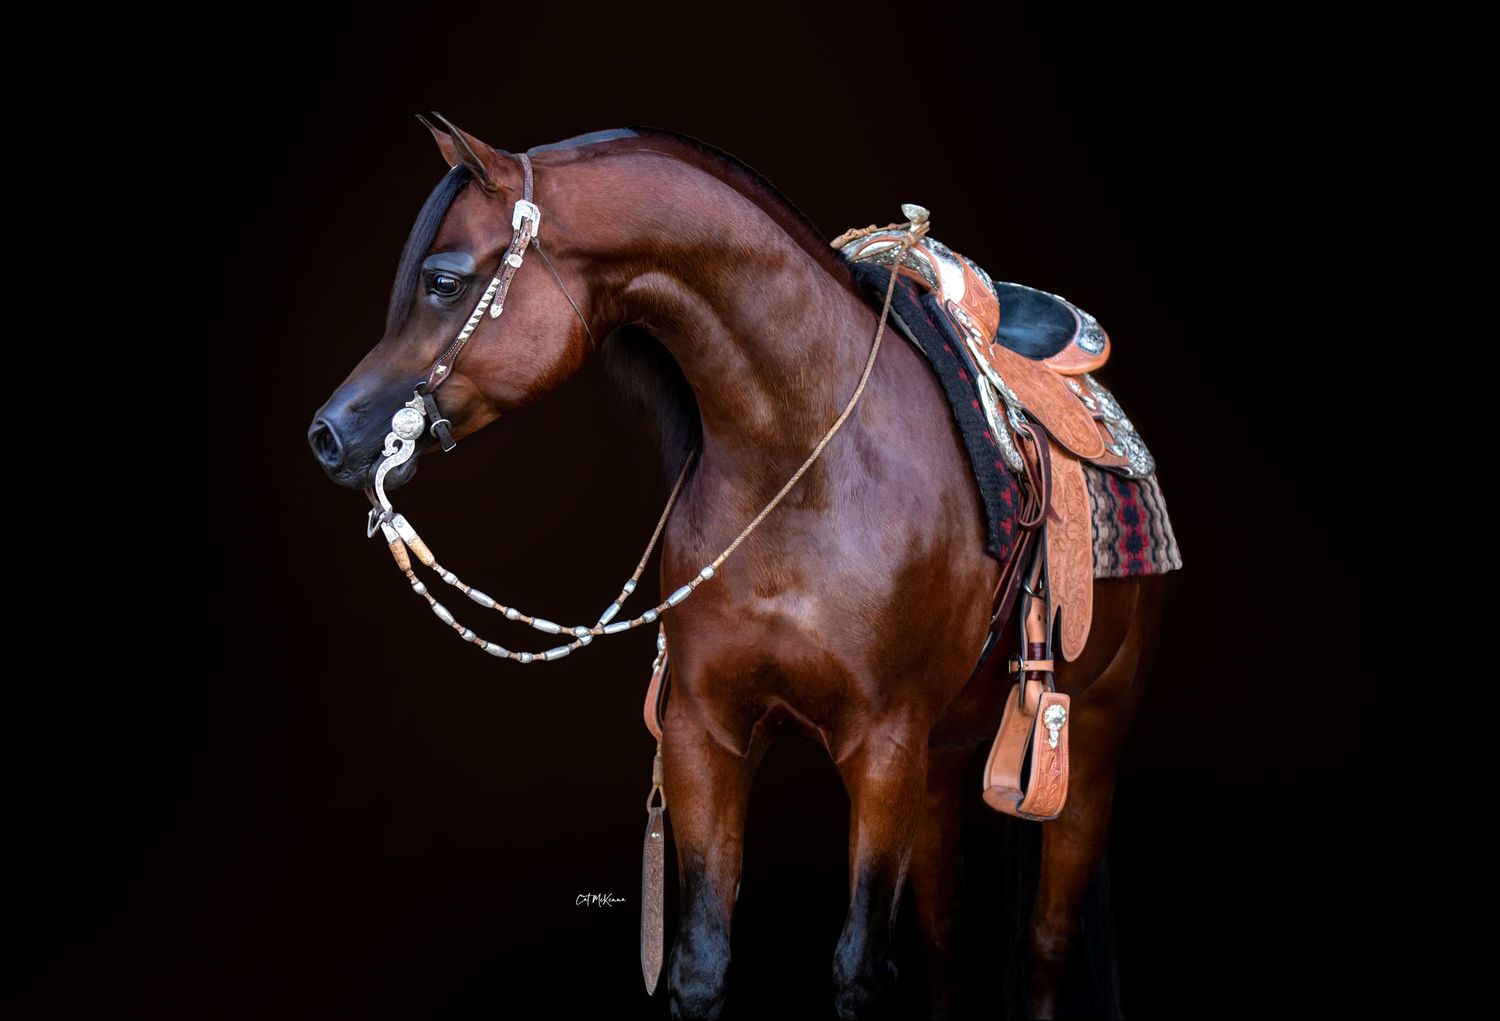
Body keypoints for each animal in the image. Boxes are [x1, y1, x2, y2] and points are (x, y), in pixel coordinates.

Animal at [308, 118, 1168, 1020]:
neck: (804, 461)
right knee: (941, 929)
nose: (330, 433)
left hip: (1089, 739)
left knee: (1046, 942)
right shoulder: (704, 731)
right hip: (944, 755)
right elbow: (700, 962)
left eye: (442, 281)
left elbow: (862, 966)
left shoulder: (885, 744)